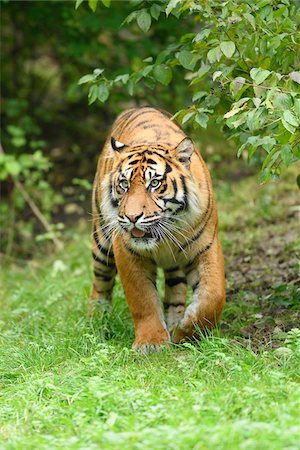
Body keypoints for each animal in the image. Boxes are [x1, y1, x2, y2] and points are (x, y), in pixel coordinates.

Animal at [89, 107, 225, 354]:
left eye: (154, 184)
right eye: (124, 184)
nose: (132, 217)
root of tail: (135, 107)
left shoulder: (207, 246)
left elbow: (213, 296)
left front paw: (184, 331)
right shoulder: (127, 253)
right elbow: (143, 300)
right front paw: (151, 343)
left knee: (175, 290)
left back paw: (173, 322)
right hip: (101, 242)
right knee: (100, 284)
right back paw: (96, 321)